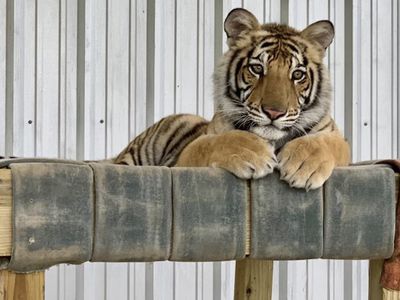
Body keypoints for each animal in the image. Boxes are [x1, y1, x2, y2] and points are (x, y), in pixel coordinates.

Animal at [114, 7, 348, 190]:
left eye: (297, 75)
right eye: (257, 68)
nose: (274, 112)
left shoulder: (334, 136)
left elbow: (330, 143)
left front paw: (302, 165)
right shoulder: (182, 160)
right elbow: (212, 143)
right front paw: (252, 152)